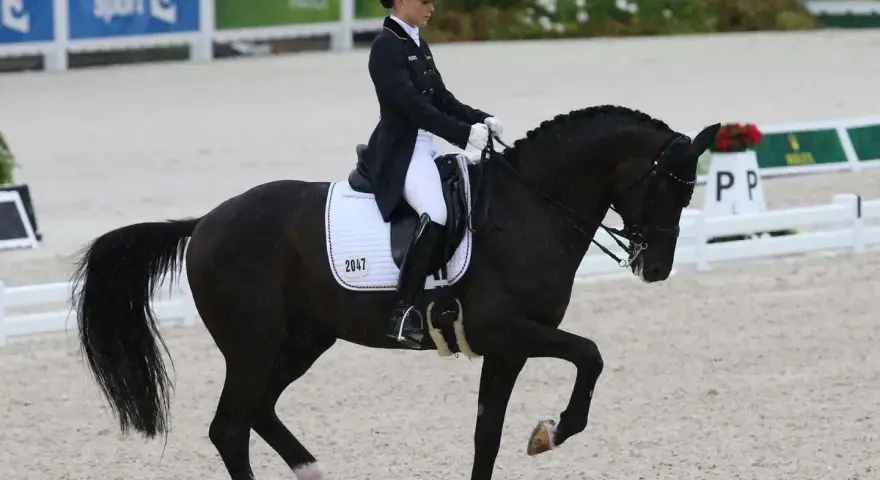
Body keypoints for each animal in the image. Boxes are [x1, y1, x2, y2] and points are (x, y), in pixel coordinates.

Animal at [70, 104, 720, 480]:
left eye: (691, 190)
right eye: (667, 185)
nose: (656, 268)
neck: (529, 207)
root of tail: (203, 223)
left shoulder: (508, 348)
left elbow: (487, 434)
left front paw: (536, 435)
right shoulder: (509, 331)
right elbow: (591, 354)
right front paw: (550, 433)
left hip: (302, 342)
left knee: (257, 412)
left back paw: (314, 471)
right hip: (254, 345)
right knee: (230, 427)